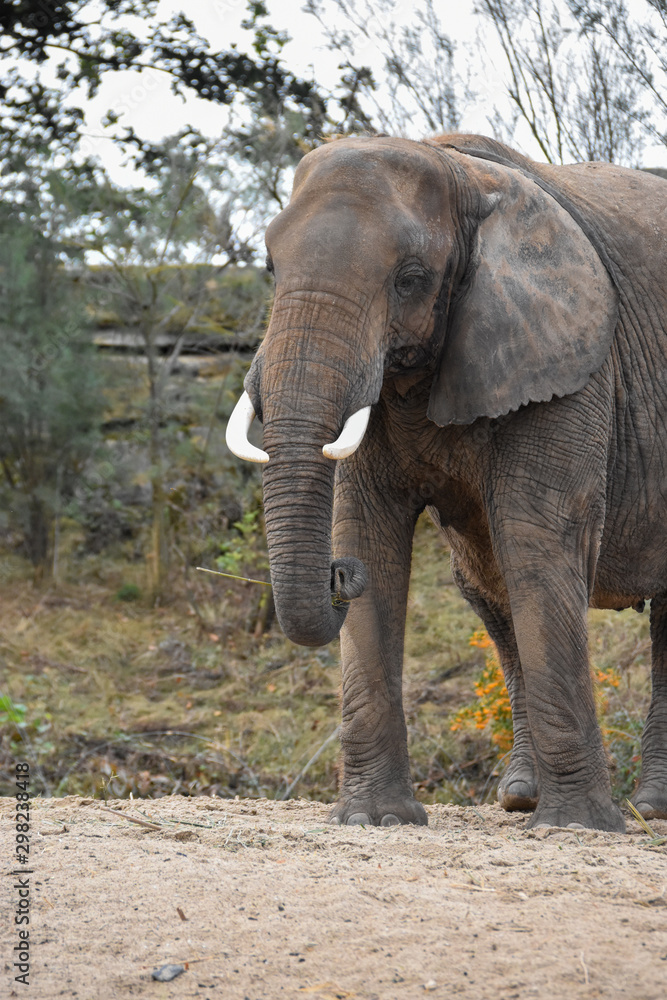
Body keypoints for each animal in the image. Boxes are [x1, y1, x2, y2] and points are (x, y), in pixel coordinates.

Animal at [226, 133, 667, 836]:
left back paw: (642, 811)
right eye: (270, 267)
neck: (459, 174)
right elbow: (369, 532)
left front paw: (576, 828)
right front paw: (375, 819)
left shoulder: (571, 360)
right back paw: (523, 800)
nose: (337, 575)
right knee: (488, 587)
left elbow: (537, 536)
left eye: (409, 278)